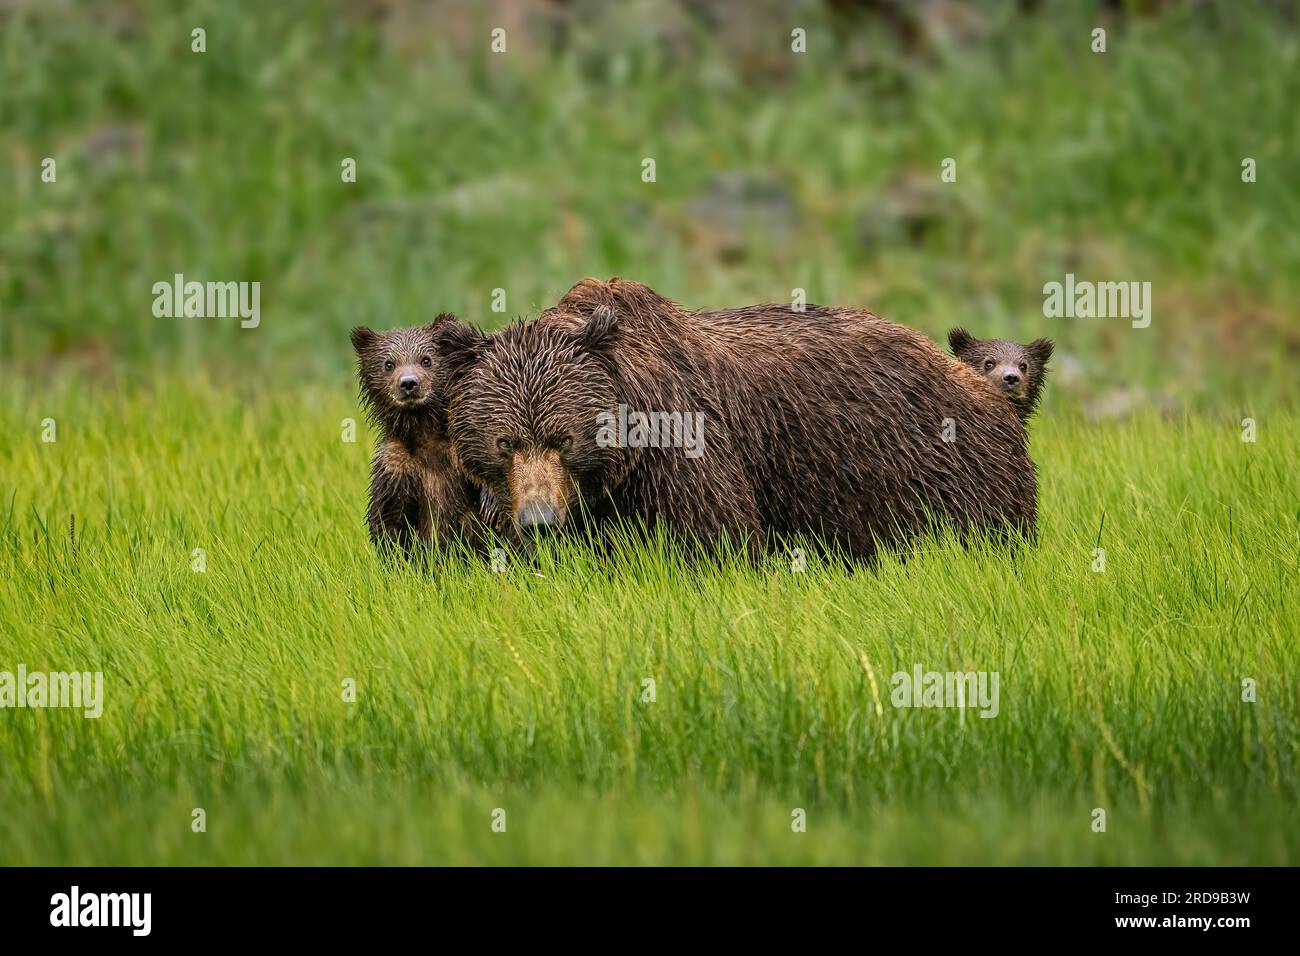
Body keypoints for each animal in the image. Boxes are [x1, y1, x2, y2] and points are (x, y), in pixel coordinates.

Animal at [434, 277, 1039, 563]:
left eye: (562, 437)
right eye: (505, 441)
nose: (539, 520)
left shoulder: (685, 446)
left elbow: (718, 538)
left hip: (948, 473)